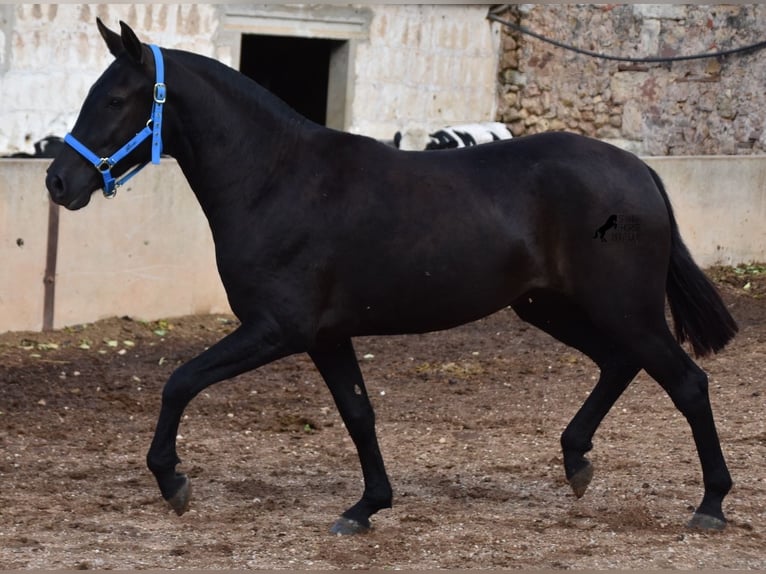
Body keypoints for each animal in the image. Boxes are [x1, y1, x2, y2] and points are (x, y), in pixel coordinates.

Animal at [46, 21, 736, 536]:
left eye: (114, 99)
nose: (58, 182)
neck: (276, 179)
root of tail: (638, 171)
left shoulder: (276, 329)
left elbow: (179, 382)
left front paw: (173, 480)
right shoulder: (326, 337)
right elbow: (359, 413)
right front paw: (366, 507)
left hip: (623, 308)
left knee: (686, 383)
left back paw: (710, 505)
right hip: (549, 307)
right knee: (620, 363)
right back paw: (576, 462)